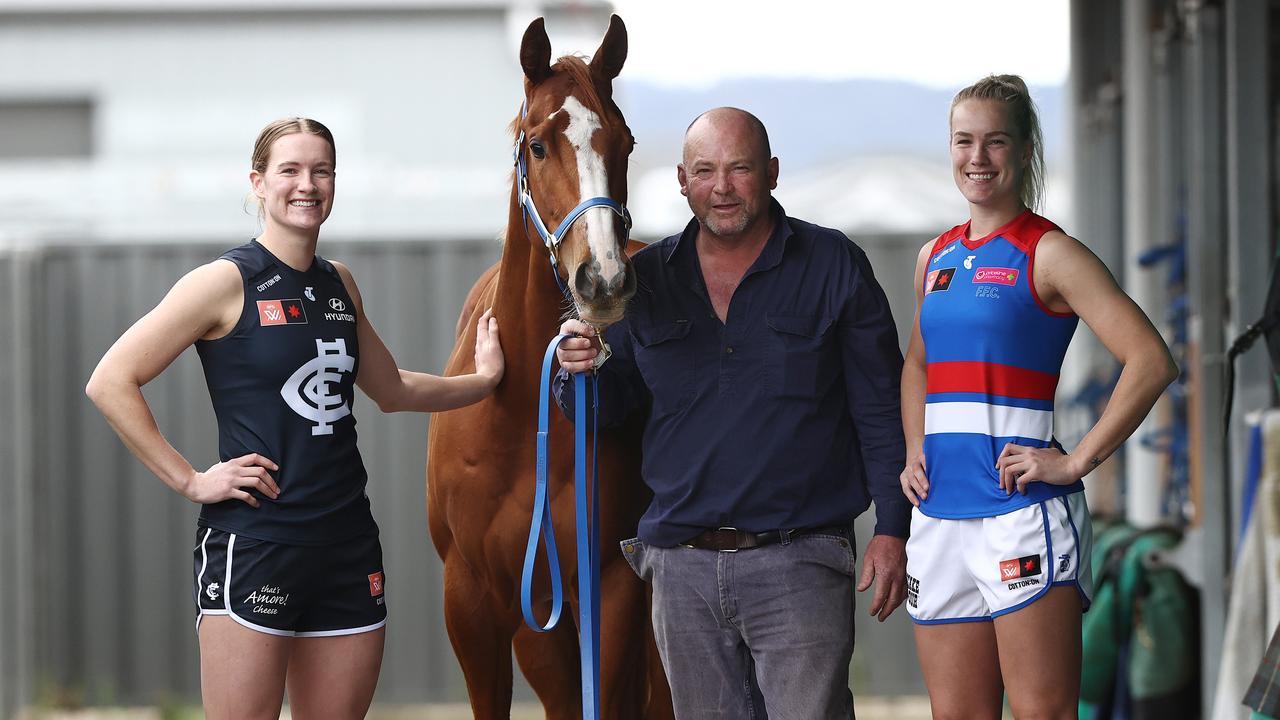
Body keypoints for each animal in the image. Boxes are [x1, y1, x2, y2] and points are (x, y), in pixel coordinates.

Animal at [427, 12, 675, 717]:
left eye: (624, 144)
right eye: (537, 145)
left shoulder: (610, 585)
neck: (518, 424)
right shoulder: (474, 602)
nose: (604, 280)